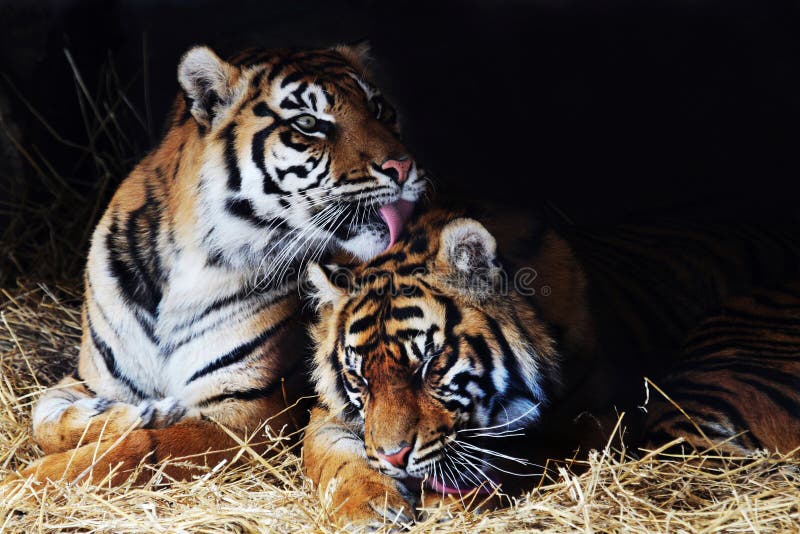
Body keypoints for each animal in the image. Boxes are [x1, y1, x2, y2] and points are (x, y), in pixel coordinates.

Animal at [6, 42, 426, 488]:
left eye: (379, 109)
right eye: (309, 122)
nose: (403, 167)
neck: (184, 265)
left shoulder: (250, 414)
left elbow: (134, 449)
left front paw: (23, 485)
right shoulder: (87, 378)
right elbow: (44, 419)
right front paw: (137, 412)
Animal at [302, 206, 800, 526]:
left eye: (429, 364)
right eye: (359, 379)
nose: (393, 457)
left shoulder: (601, 420)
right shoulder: (329, 414)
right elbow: (330, 454)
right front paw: (368, 508)